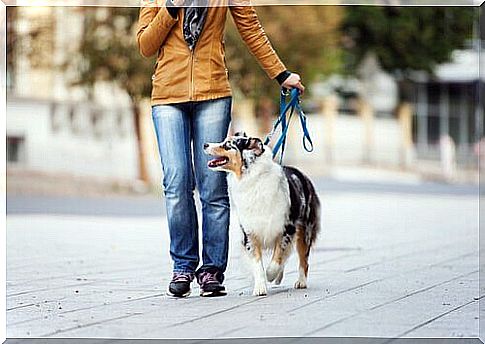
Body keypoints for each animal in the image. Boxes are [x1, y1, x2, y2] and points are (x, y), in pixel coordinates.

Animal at [204, 132, 322, 296]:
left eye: (228, 145)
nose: (205, 144)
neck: (251, 179)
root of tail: (301, 174)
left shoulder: (286, 229)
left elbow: (277, 259)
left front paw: (270, 275)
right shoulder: (250, 233)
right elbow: (258, 263)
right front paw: (260, 287)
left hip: (305, 230)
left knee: (303, 259)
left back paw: (301, 282)